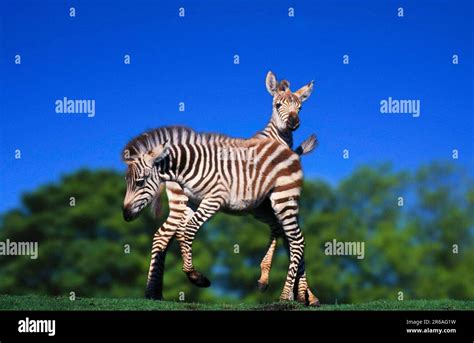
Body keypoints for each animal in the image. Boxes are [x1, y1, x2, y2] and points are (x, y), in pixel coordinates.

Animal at [133, 71, 318, 306]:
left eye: (300, 107)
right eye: (277, 105)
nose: (294, 122)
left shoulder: (264, 207)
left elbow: (285, 237)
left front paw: (293, 290)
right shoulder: (267, 205)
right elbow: (289, 240)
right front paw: (301, 294)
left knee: (164, 235)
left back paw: (154, 291)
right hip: (183, 202)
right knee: (165, 234)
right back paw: (157, 289)